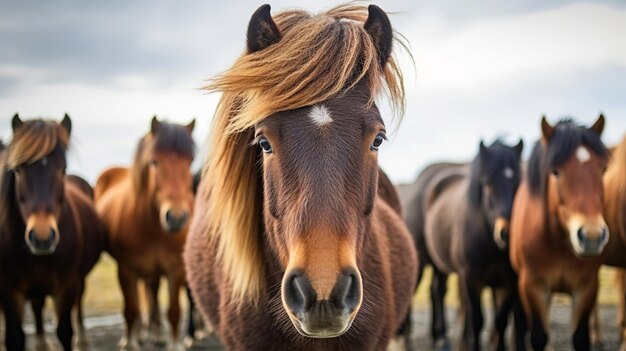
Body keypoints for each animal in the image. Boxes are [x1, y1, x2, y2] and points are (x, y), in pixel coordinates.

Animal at [0, 114, 105, 350]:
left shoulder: (66, 285)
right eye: (18, 171)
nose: (42, 237)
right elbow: (15, 337)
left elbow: (65, 331)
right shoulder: (9, 289)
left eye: (63, 169)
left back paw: (82, 340)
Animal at [93, 117, 193, 350]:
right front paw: (130, 343)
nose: (176, 217)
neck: (153, 228)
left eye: (189, 162)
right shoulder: (126, 270)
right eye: (154, 162)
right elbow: (131, 310)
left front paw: (174, 343)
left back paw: (156, 334)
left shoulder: (176, 269)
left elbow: (174, 311)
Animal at [510, 114, 608, 350]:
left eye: (603, 170)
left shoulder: (587, 286)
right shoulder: (532, 285)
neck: (559, 244)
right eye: (555, 171)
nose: (592, 237)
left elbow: (581, 338)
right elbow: (539, 336)